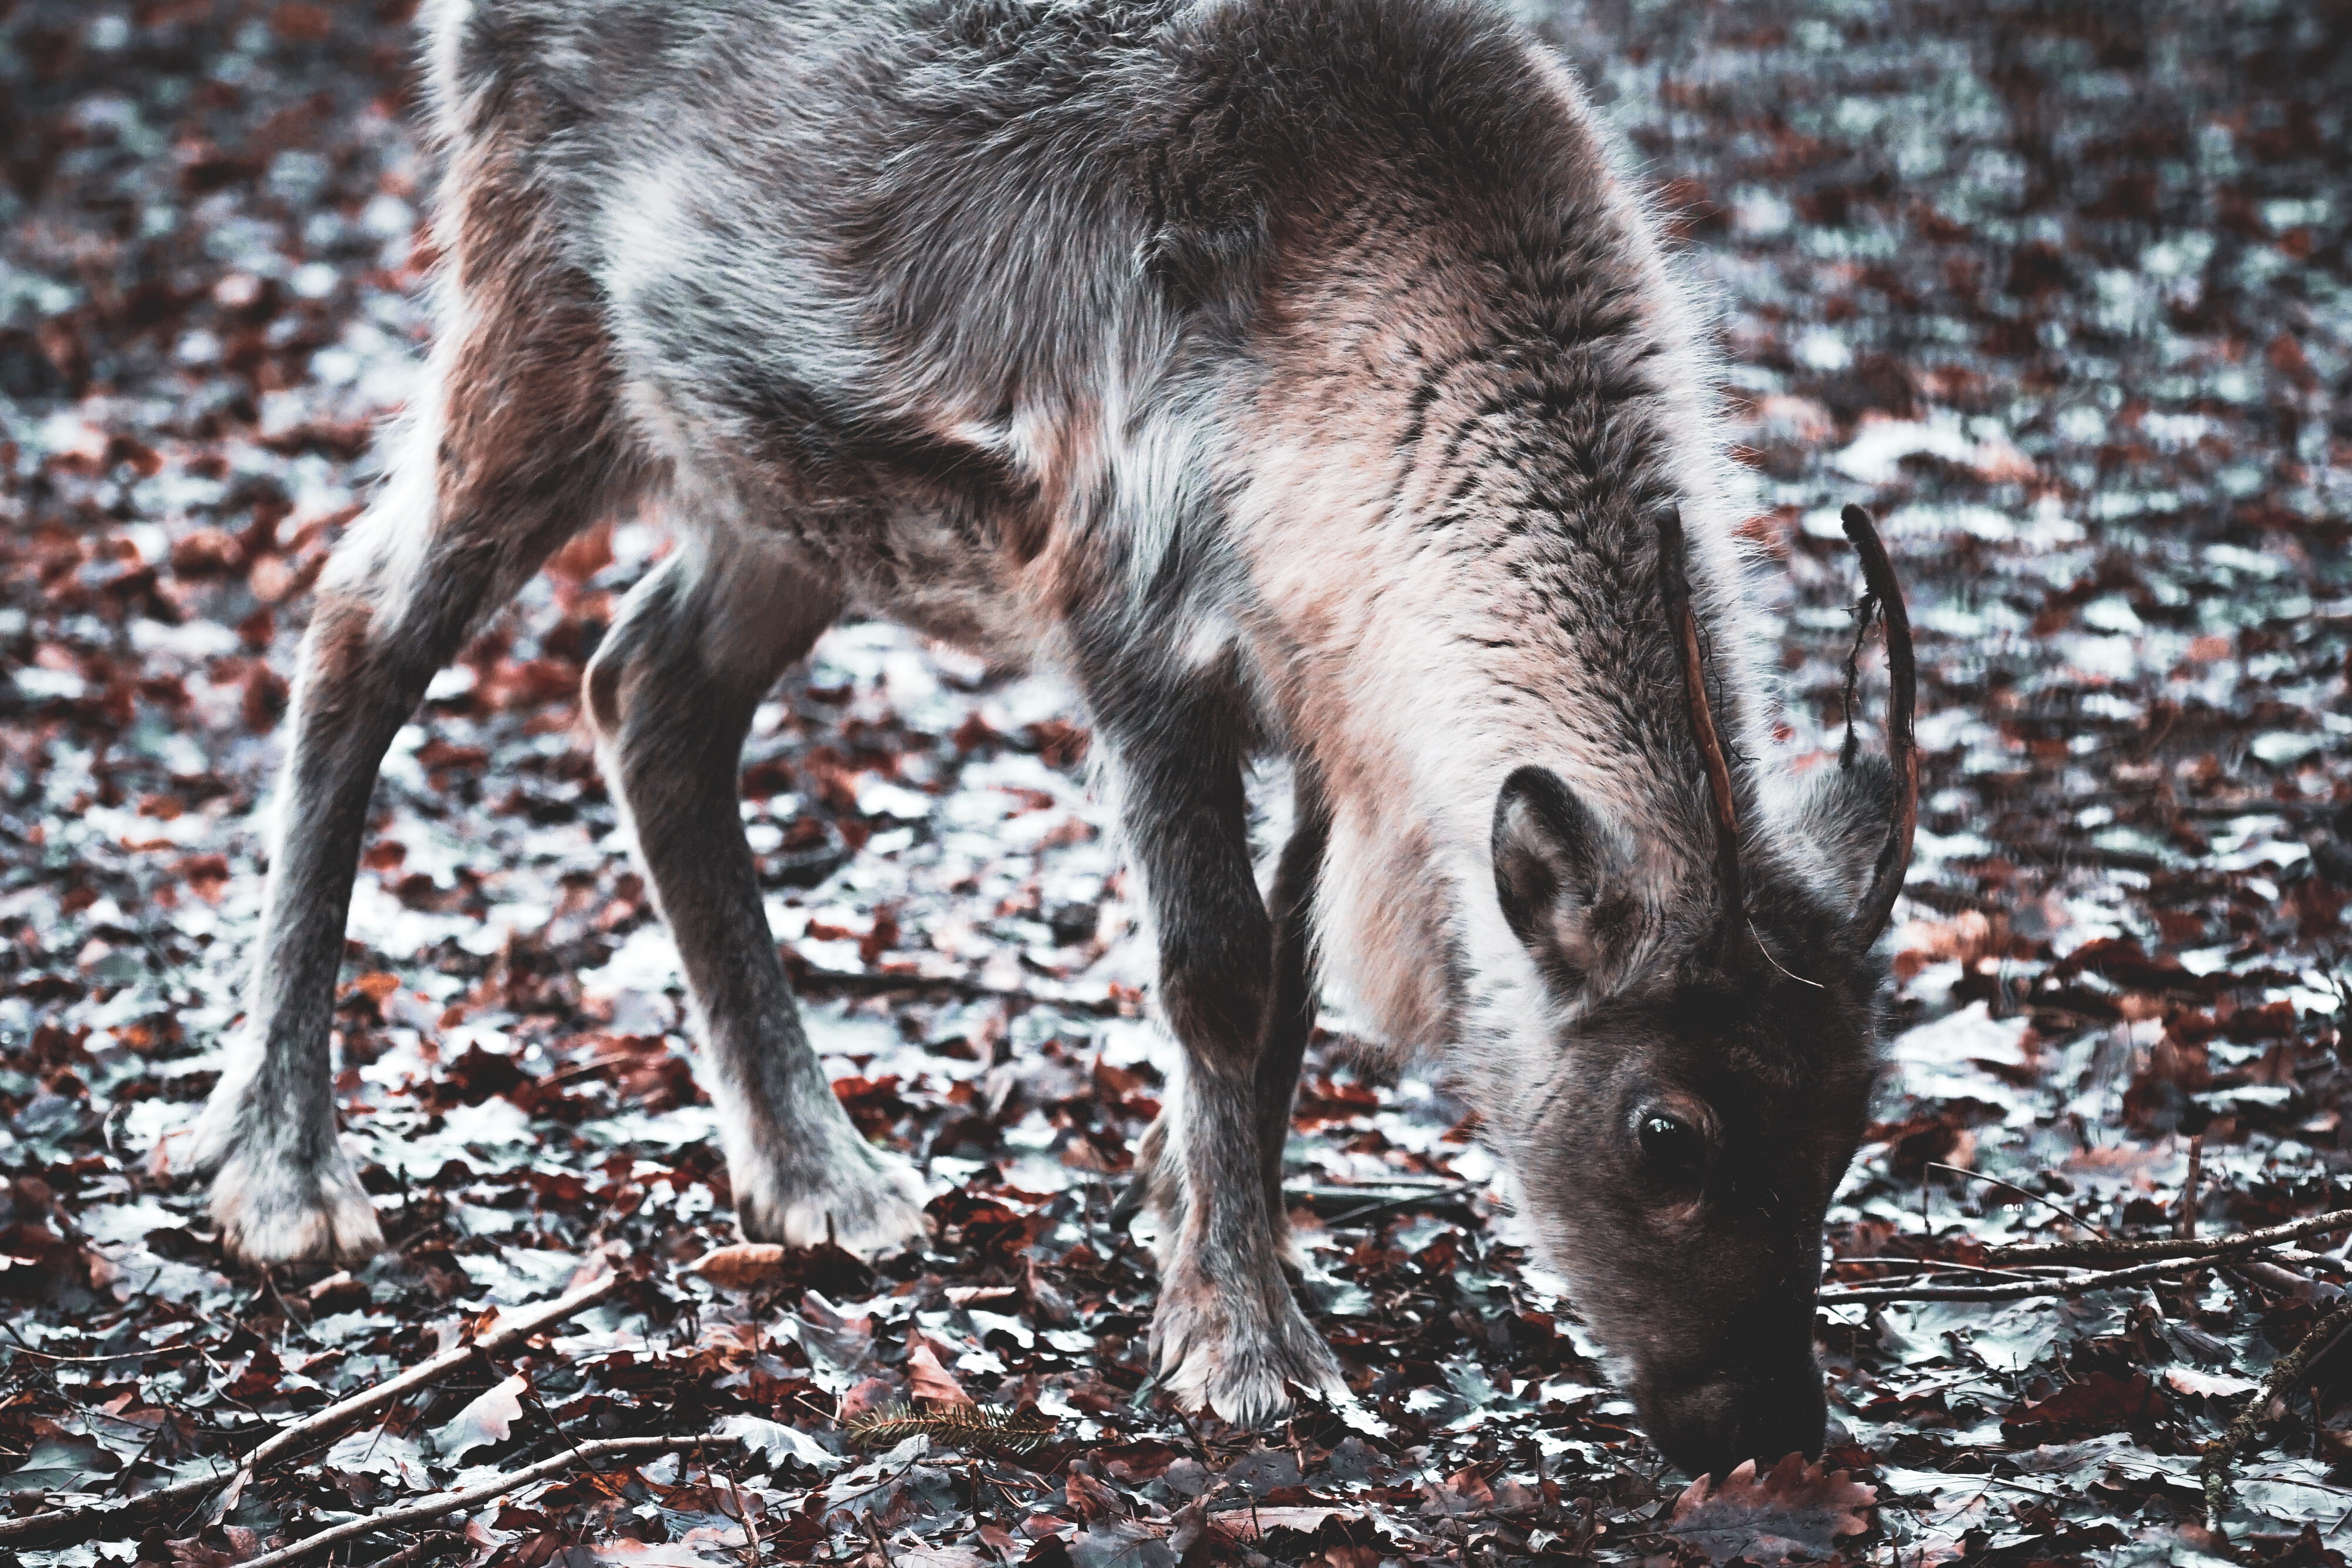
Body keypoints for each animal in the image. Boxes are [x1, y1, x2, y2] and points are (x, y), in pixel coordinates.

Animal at [188, 0, 1919, 1476]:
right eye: (1664, 1128)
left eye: (1854, 1114)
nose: (1764, 1425)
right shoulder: (1132, 612)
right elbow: (1218, 974)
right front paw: (1243, 1348)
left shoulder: (1325, 702)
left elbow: (1292, 993)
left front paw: (1194, 1228)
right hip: (538, 312)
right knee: (360, 617)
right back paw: (284, 1171)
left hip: (775, 473)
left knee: (647, 687)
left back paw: (817, 1174)